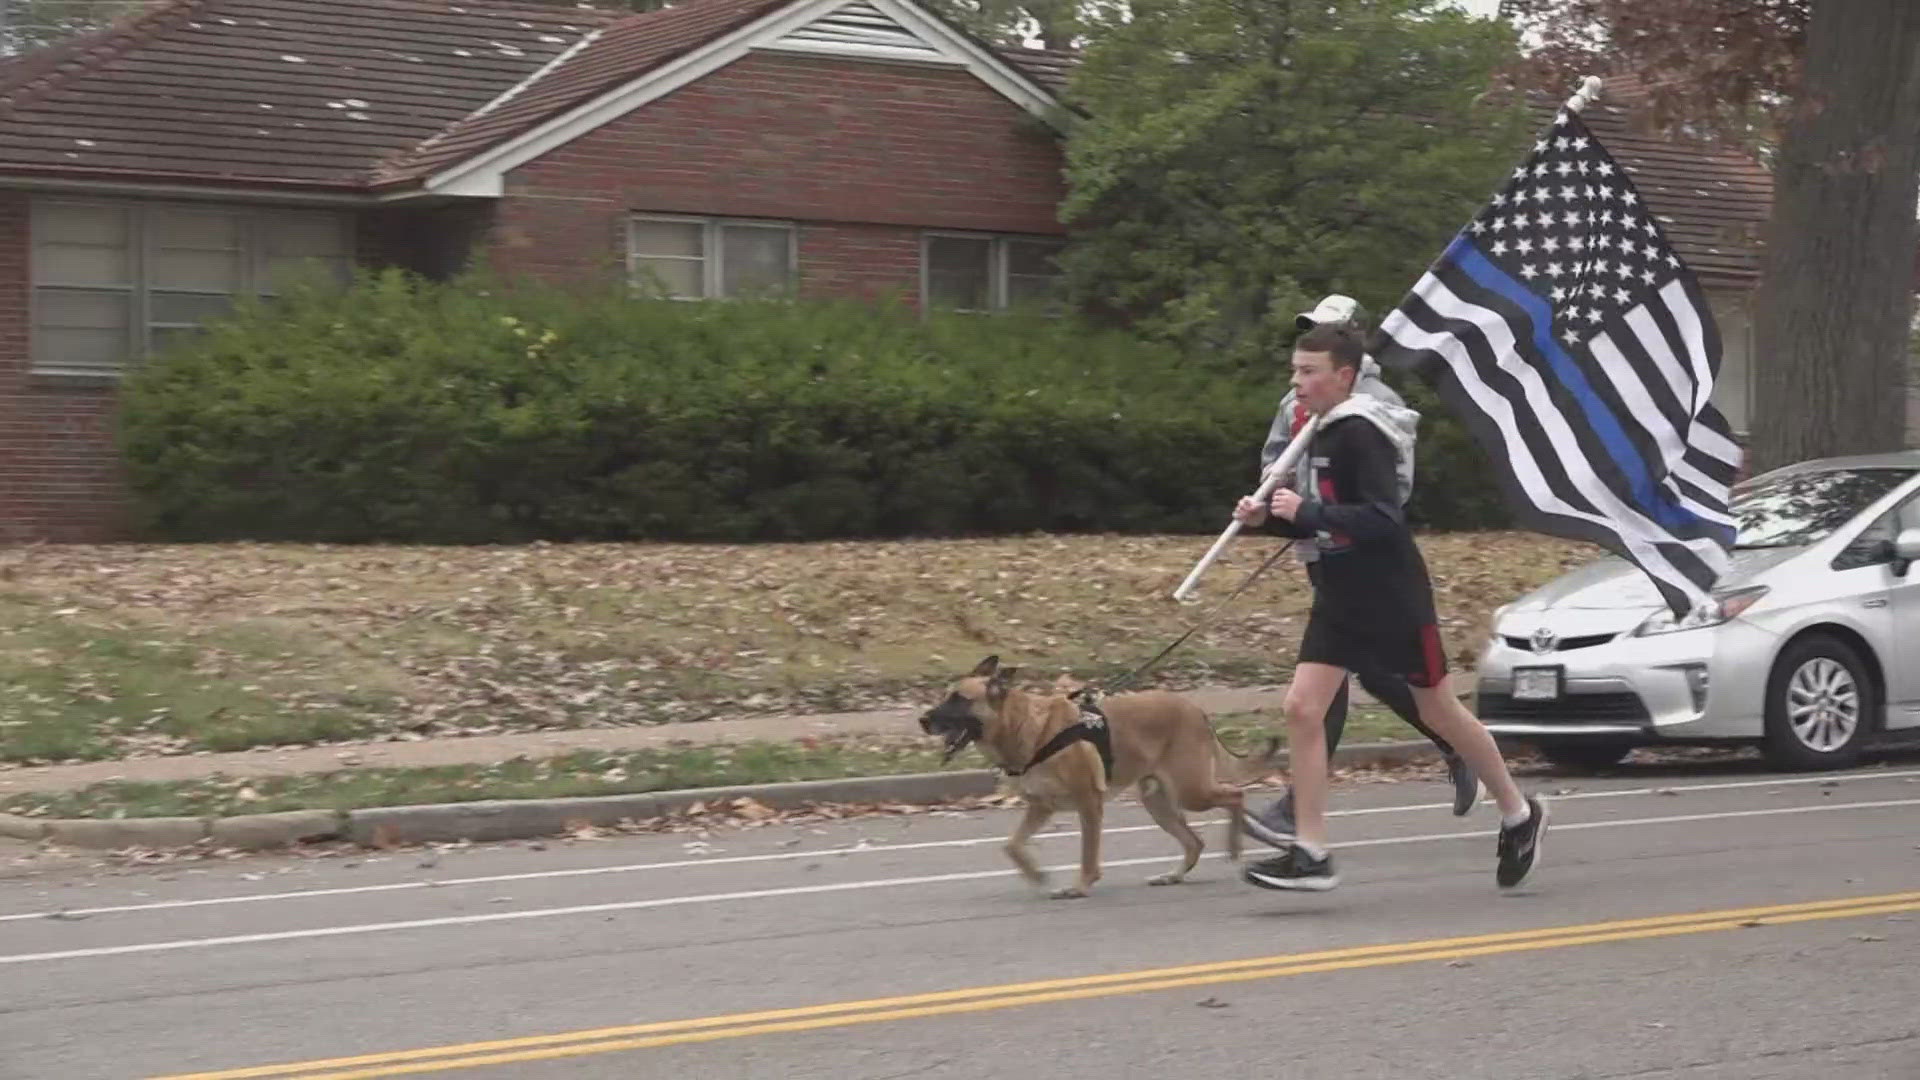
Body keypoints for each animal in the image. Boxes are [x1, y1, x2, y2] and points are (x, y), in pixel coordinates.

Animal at [921, 653, 1282, 895]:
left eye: (959, 699)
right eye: (946, 696)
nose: (923, 721)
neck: (1027, 726)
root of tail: (1197, 710)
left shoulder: (1089, 804)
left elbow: (1088, 854)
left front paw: (1081, 885)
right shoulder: (1041, 807)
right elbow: (1011, 845)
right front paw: (1036, 875)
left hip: (1191, 791)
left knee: (1235, 794)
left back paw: (1234, 846)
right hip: (1159, 804)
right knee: (1195, 841)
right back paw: (1174, 875)